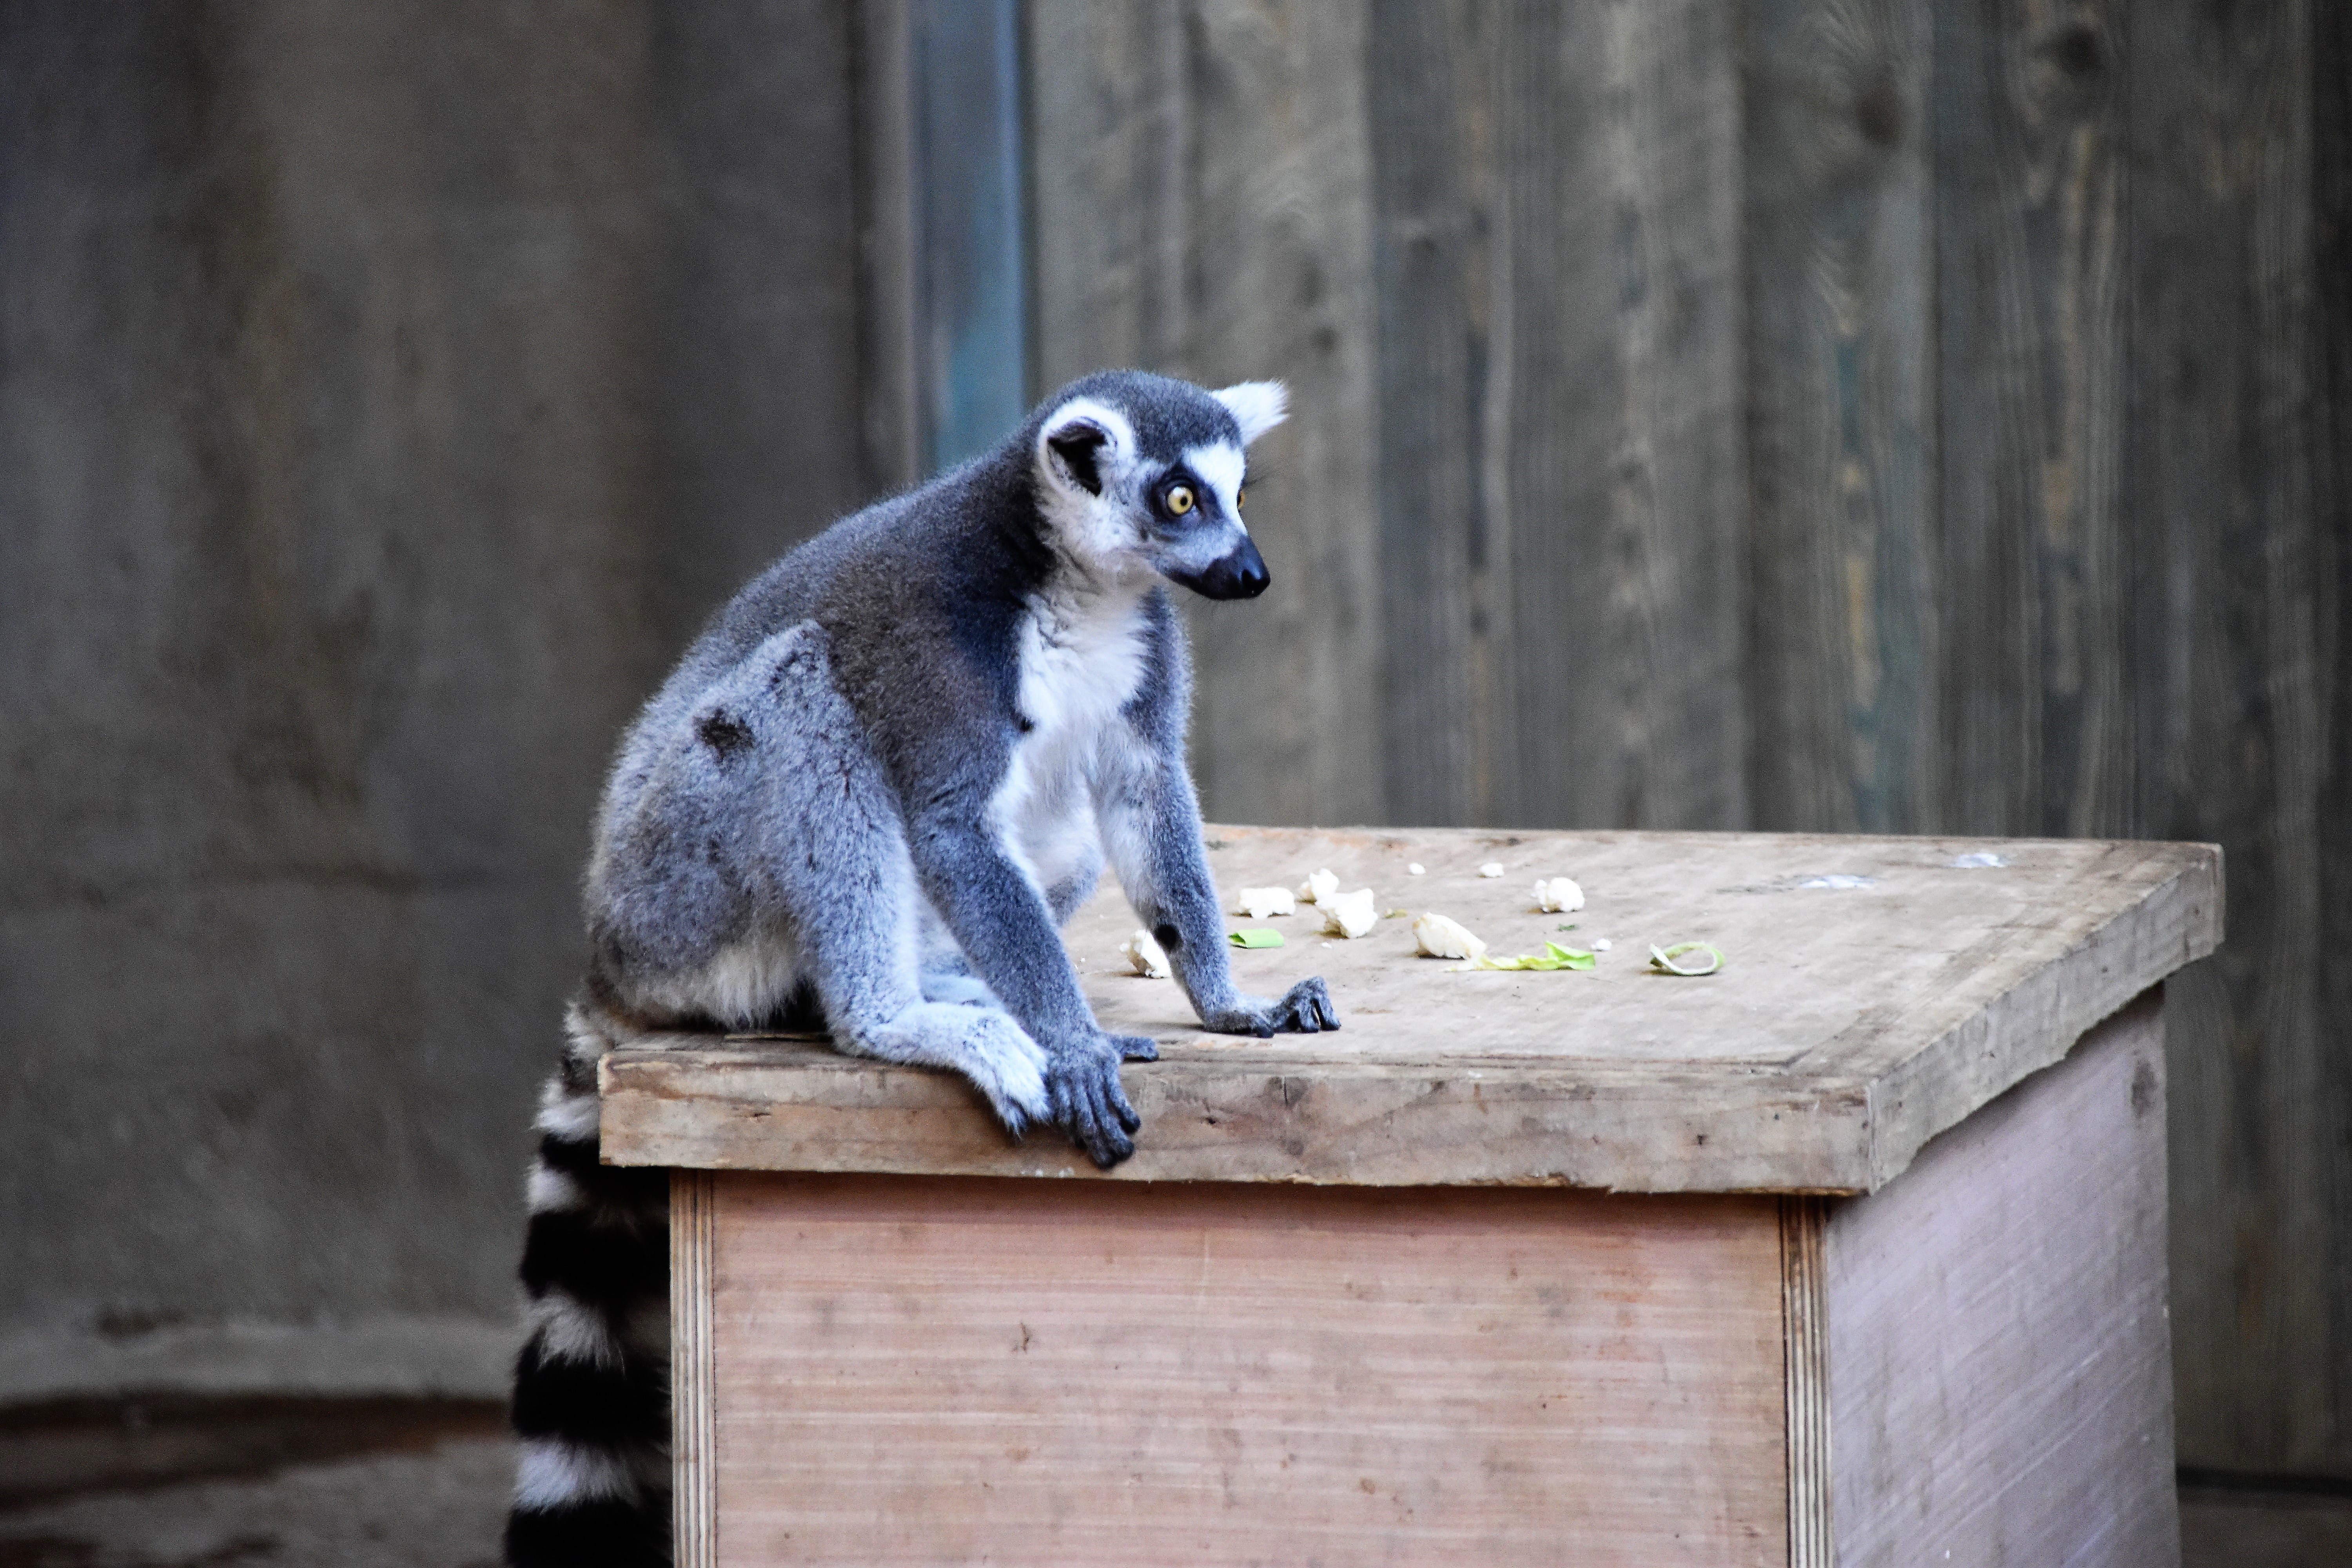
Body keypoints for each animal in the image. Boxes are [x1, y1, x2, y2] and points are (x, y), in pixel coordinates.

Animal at [504, 370, 1340, 1565]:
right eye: (1179, 499)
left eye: (1234, 494)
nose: (1250, 572)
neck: (1081, 587)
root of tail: (611, 945)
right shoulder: (935, 638)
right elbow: (951, 826)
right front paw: (1075, 1044)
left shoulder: (1144, 654)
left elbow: (1146, 790)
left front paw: (1230, 1005)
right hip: (681, 882)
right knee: (808, 687)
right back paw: (897, 1017)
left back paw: (960, 992)